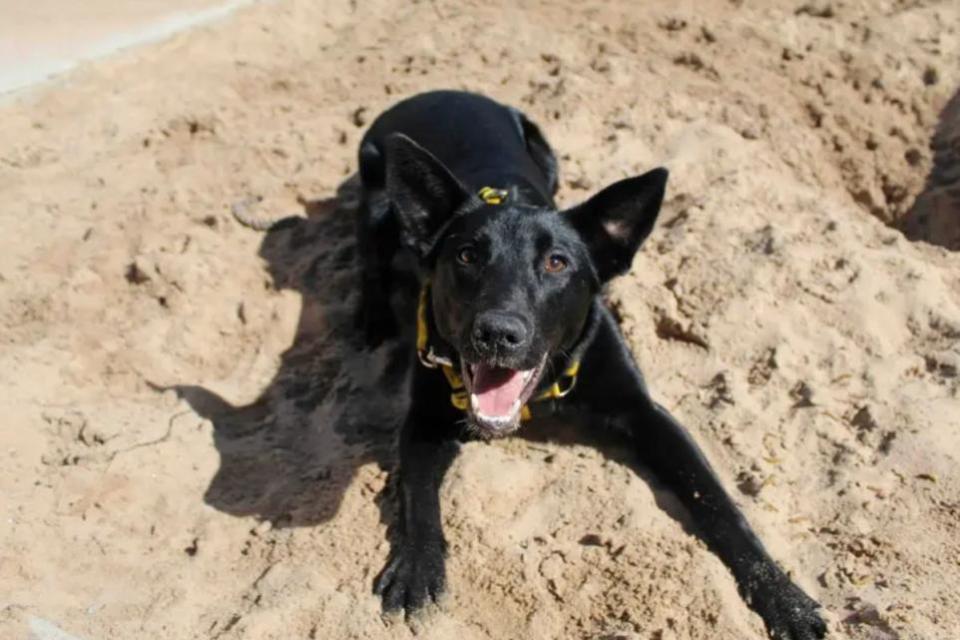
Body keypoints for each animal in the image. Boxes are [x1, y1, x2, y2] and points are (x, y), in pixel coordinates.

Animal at [352, 91, 824, 640]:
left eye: (557, 262)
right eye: (467, 255)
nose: (497, 334)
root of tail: (437, 93)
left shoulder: (648, 414)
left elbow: (718, 503)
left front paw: (783, 596)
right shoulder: (425, 420)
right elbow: (418, 496)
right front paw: (418, 567)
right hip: (377, 200)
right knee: (370, 261)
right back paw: (370, 321)